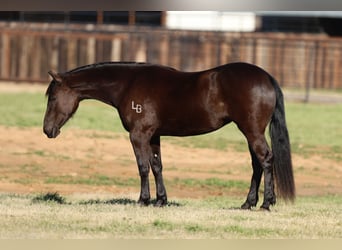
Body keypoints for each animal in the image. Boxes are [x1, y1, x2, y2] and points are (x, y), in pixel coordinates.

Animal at [42, 61, 296, 210]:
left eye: (52, 97)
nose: (47, 130)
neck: (128, 84)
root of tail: (266, 77)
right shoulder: (153, 137)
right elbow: (157, 166)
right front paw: (161, 200)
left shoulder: (138, 135)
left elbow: (143, 167)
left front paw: (143, 200)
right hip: (251, 133)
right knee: (257, 164)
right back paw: (248, 203)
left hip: (251, 131)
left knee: (265, 160)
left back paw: (266, 203)